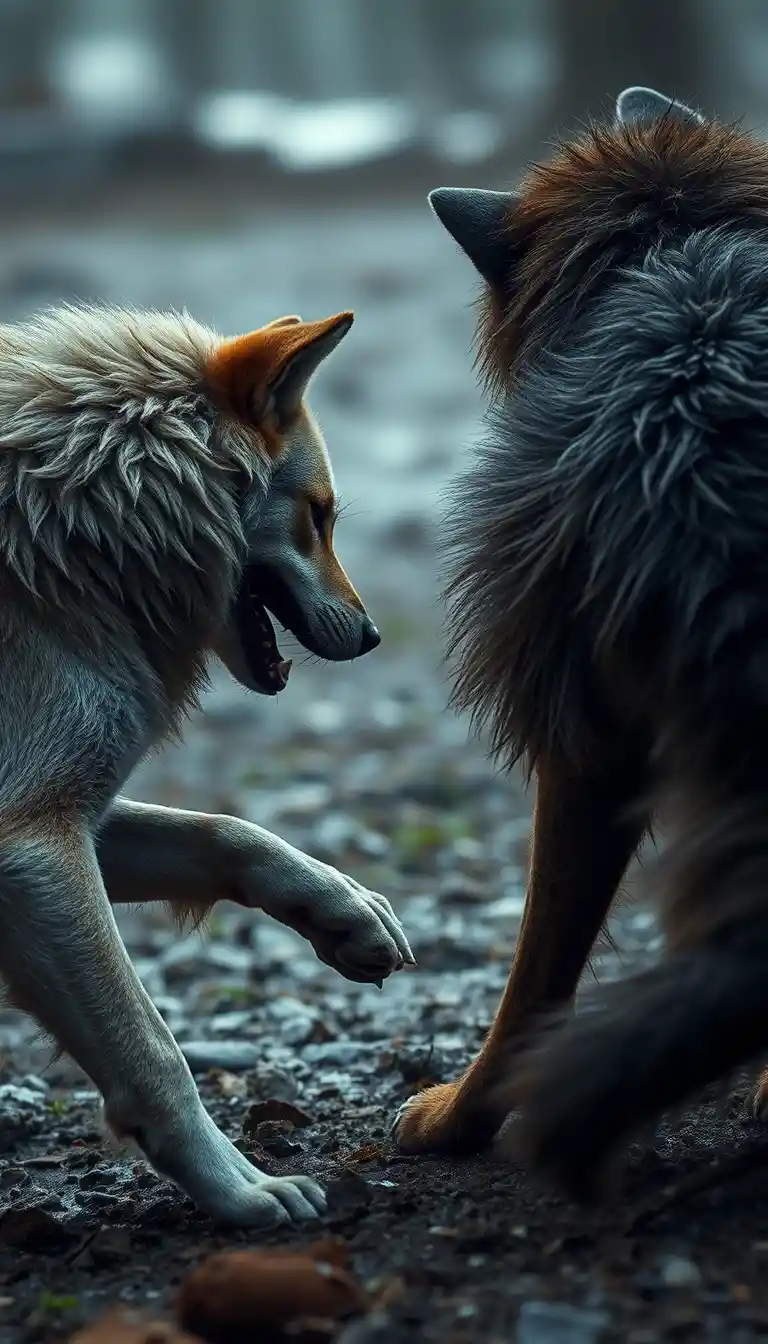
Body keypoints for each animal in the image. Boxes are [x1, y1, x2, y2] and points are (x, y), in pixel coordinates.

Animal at [0, 303, 413, 1226]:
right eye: (321, 517)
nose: (375, 638)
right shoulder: (32, 849)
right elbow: (155, 1053)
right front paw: (239, 1188)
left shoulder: (74, 823)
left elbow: (230, 833)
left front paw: (346, 912)